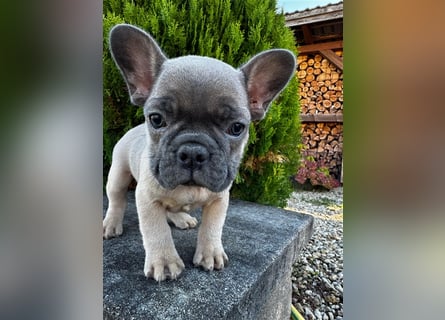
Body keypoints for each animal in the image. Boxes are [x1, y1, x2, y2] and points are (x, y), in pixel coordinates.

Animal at [102, 23, 294, 282]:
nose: (193, 152)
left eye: (236, 128)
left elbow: (212, 227)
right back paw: (111, 224)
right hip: (118, 174)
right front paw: (164, 261)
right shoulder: (147, 199)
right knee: (116, 199)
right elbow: (156, 230)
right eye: (156, 119)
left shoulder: (220, 199)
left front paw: (211, 253)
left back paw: (181, 218)